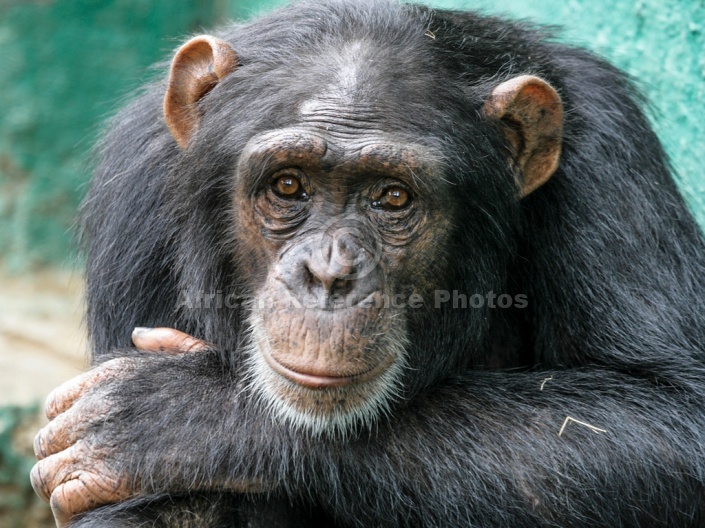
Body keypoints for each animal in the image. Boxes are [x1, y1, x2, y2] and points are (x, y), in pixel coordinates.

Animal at [30, 0, 704, 524]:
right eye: (289, 185)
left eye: (393, 197)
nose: (329, 275)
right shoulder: (136, 185)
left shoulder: (608, 155)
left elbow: (668, 423)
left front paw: (178, 414)